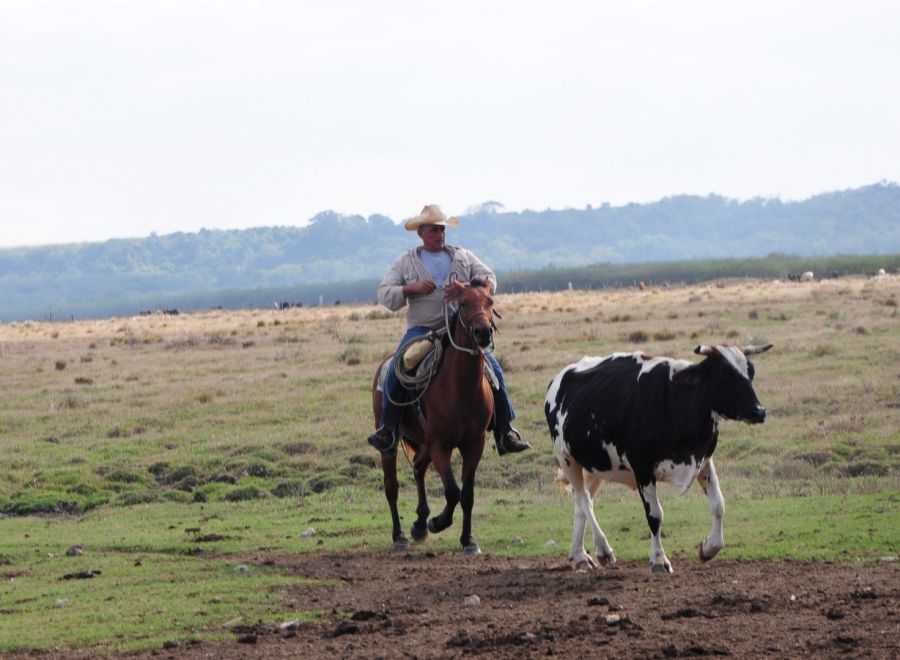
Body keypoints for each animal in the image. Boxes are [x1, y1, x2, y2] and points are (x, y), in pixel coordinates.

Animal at [370, 282, 496, 556]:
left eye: (490, 301)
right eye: (463, 303)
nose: (483, 332)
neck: (461, 387)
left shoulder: (475, 444)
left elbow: (467, 494)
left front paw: (468, 540)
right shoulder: (440, 445)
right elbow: (452, 491)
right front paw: (438, 522)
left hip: (423, 442)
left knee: (418, 468)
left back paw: (419, 524)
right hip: (391, 443)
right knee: (391, 487)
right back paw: (400, 536)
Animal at [544, 346, 768, 572]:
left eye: (751, 372)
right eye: (725, 375)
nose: (759, 411)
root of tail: (559, 378)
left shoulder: (703, 461)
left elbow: (718, 505)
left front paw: (709, 548)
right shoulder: (642, 468)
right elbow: (655, 515)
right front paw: (659, 559)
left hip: (595, 464)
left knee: (581, 503)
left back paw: (579, 555)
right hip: (566, 457)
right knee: (585, 500)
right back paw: (603, 550)